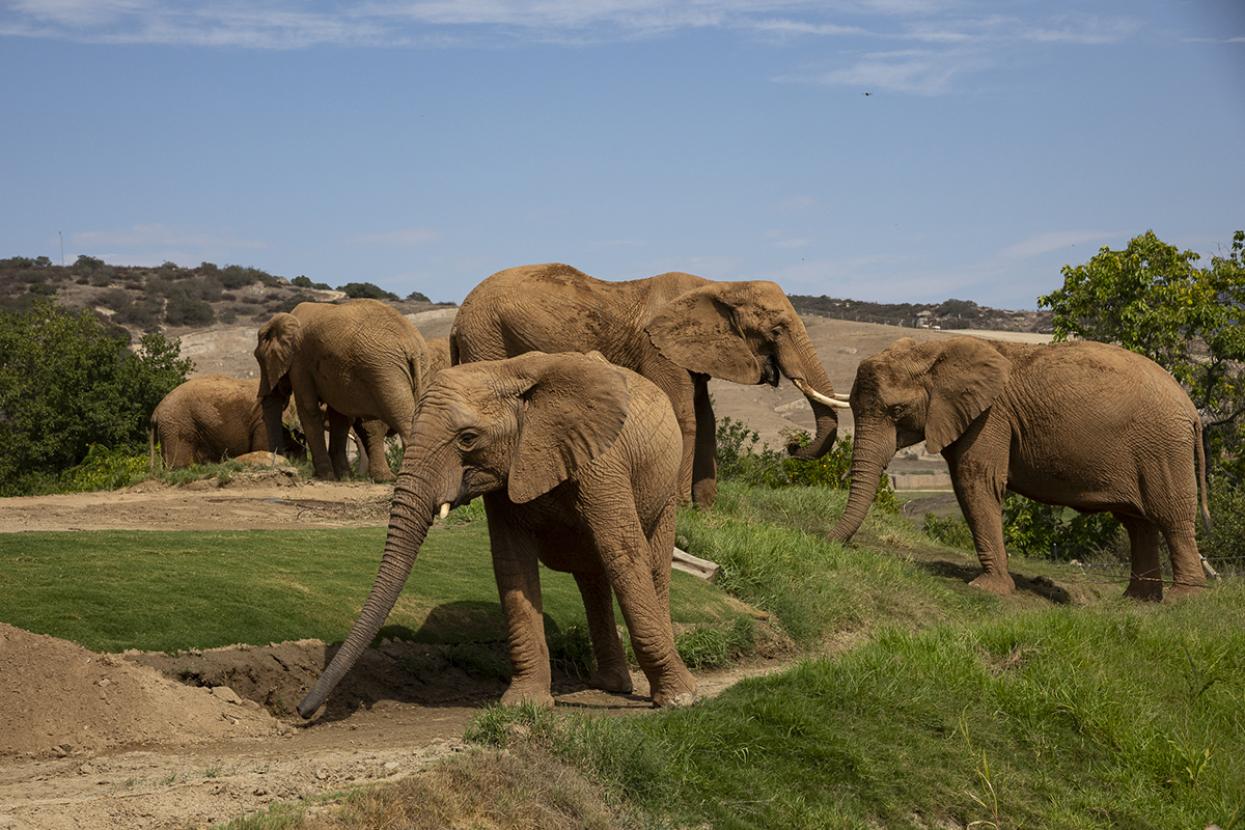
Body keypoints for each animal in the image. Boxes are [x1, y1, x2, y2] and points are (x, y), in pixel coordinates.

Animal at [255, 299, 431, 482]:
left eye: (259, 358)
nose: (281, 459)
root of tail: (412, 347)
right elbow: (339, 418)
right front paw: (344, 476)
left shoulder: (299, 362)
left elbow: (308, 410)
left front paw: (324, 476)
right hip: (417, 368)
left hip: (386, 372)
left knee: (403, 422)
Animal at [296, 351, 698, 718]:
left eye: (468, 438)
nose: (303, 710)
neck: (509, 372)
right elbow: (512, 565)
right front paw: (524, 704)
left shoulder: (602, 461)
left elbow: (623, 553)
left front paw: (679, 700)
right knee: (591, 578)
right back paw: (609, 684)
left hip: (664, 488)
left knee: (651, 567)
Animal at [450, 263, 844, 507]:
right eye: (776, 331)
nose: (792, 446)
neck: (718, 284)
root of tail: (458, 316)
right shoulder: (657, 349)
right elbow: (686, 416)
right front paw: (683, 507)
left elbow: (707, 420)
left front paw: (706, 511)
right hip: (487, 336)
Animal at [827, 335, 1213, 600]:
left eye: (896, 411)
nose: (827, 542)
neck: (936, 349)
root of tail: (1190, 408)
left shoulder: (990, 417)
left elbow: (975, 482)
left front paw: (986, 589)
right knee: (1137, 523)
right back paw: (1137, 601)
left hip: (1163, 446)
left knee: (1170, 516)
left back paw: (1181, 600)